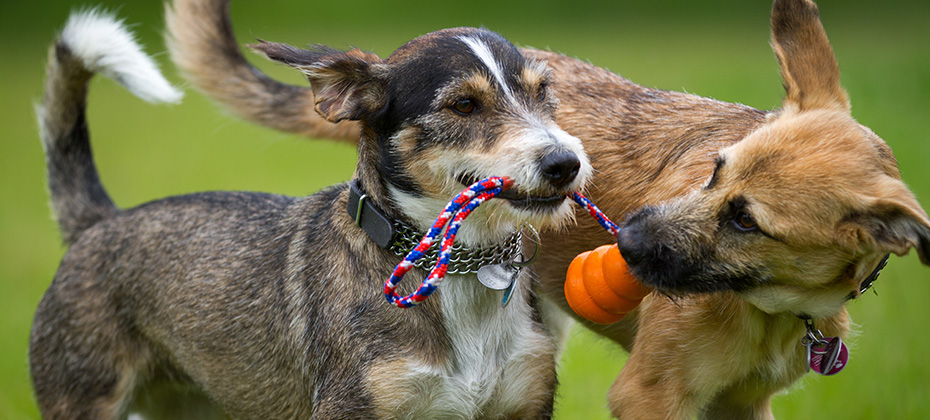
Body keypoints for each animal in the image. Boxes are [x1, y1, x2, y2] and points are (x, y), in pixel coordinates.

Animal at [34, 8, 596, 418]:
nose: (565, 163)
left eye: (543, 93)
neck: (457, 270)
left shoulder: (525, 401)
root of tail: (99, 221)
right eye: (462, 106)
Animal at [169, 0, 928, 416]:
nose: (628, 241)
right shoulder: (650, 395)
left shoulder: (743, 406)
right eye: (714, 170)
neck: (772, 308)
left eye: (748, 221)